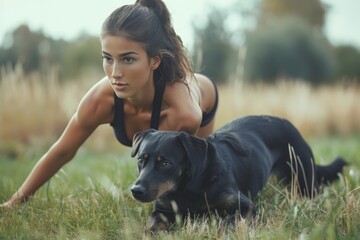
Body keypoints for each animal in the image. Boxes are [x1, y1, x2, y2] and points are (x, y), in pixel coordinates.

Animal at [131, 115, 348, 232]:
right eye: (141, 160)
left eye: (166, 163)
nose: (136, 190)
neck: (189, 188)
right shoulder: (163, 209)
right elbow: (153, 223)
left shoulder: (245, 207)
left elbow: (228, 223)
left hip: (304, 178)